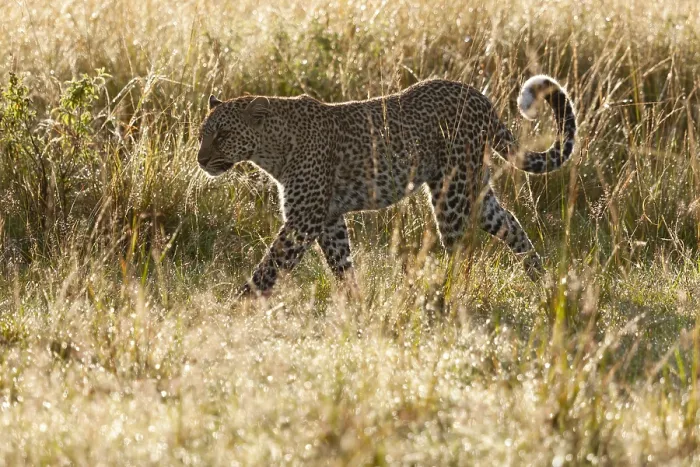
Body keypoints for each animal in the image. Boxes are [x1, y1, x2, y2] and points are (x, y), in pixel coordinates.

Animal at [197, 75, 577, 296]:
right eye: (203, 134)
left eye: (223, 134)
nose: (200, 159)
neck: (271, 149)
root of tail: (481, 98)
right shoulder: (329, 219)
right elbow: (341, 264)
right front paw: (355, 303)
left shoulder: (305, 219)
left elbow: (270, 265)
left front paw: (239, 304)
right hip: (475, 189)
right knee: (511, 224)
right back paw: (541, 279)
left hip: (451, 193)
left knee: (460, 250)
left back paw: (446, 296)